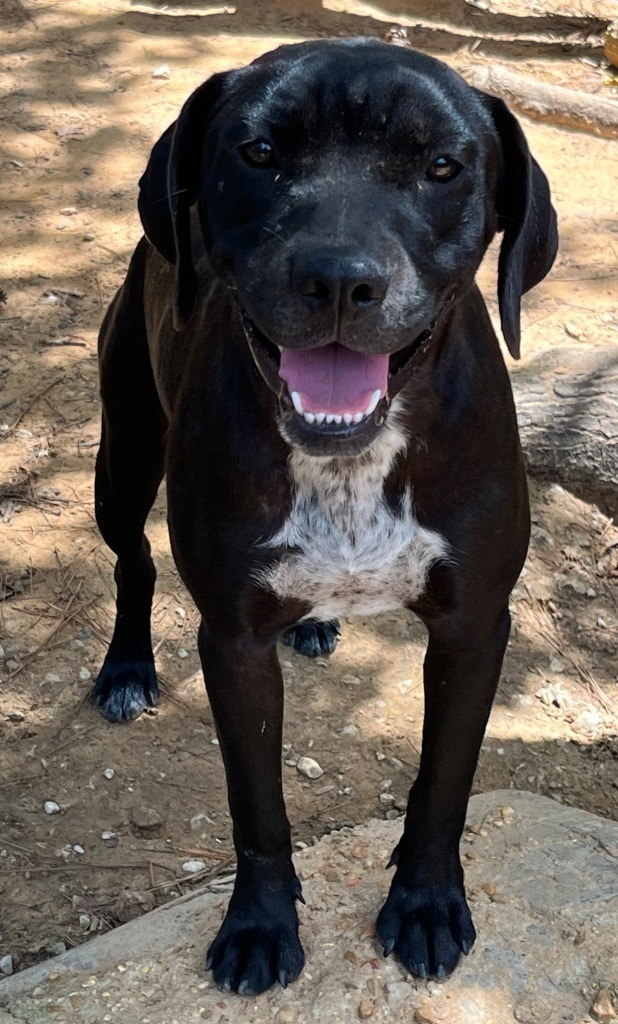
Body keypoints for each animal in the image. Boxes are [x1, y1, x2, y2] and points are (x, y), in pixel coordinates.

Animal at [93, 37, 560, 991]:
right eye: (259, 153)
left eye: (442, 166)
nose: (341, 279)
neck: (349, 465)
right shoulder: (232, 640)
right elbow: (257, 809)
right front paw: (259, 926)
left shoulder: (474, 626)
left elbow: (443, 785)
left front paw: (426, 905)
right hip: (120, 462)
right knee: (132, 561)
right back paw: (126, 668)